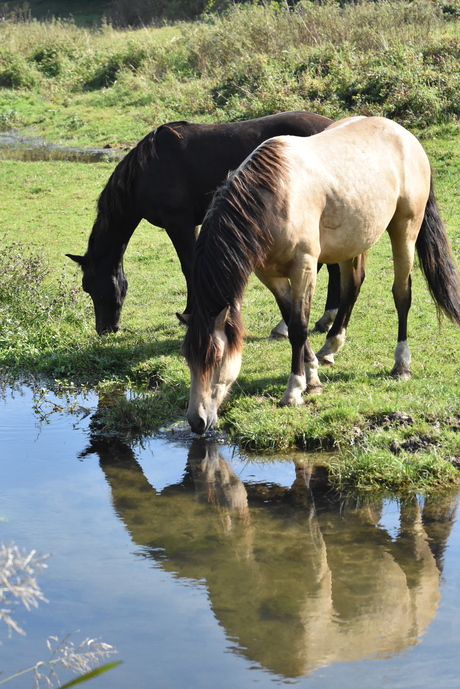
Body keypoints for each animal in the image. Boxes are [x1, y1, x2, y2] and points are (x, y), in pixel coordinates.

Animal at [66, 111, 340, 336]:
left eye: (89, 287)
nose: (105, 329)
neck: (148, 168)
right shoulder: (191, 223)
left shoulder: (178, 223)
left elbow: (188, 267)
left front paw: (188, 313)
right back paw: (324, 320)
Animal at [182, 115, 460, 432]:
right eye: (188, 358)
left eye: (216, 358)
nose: (196, 421)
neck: (274, 197)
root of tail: (403, 134)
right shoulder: (269, 275)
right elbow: (291, 319)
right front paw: (312, 377)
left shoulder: (304, 267)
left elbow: (299, 327)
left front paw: (294, 390)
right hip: (352, 242)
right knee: (353, 286)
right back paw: (330, 347)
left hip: (405, 229)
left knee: (402, 293)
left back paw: (401, 364)